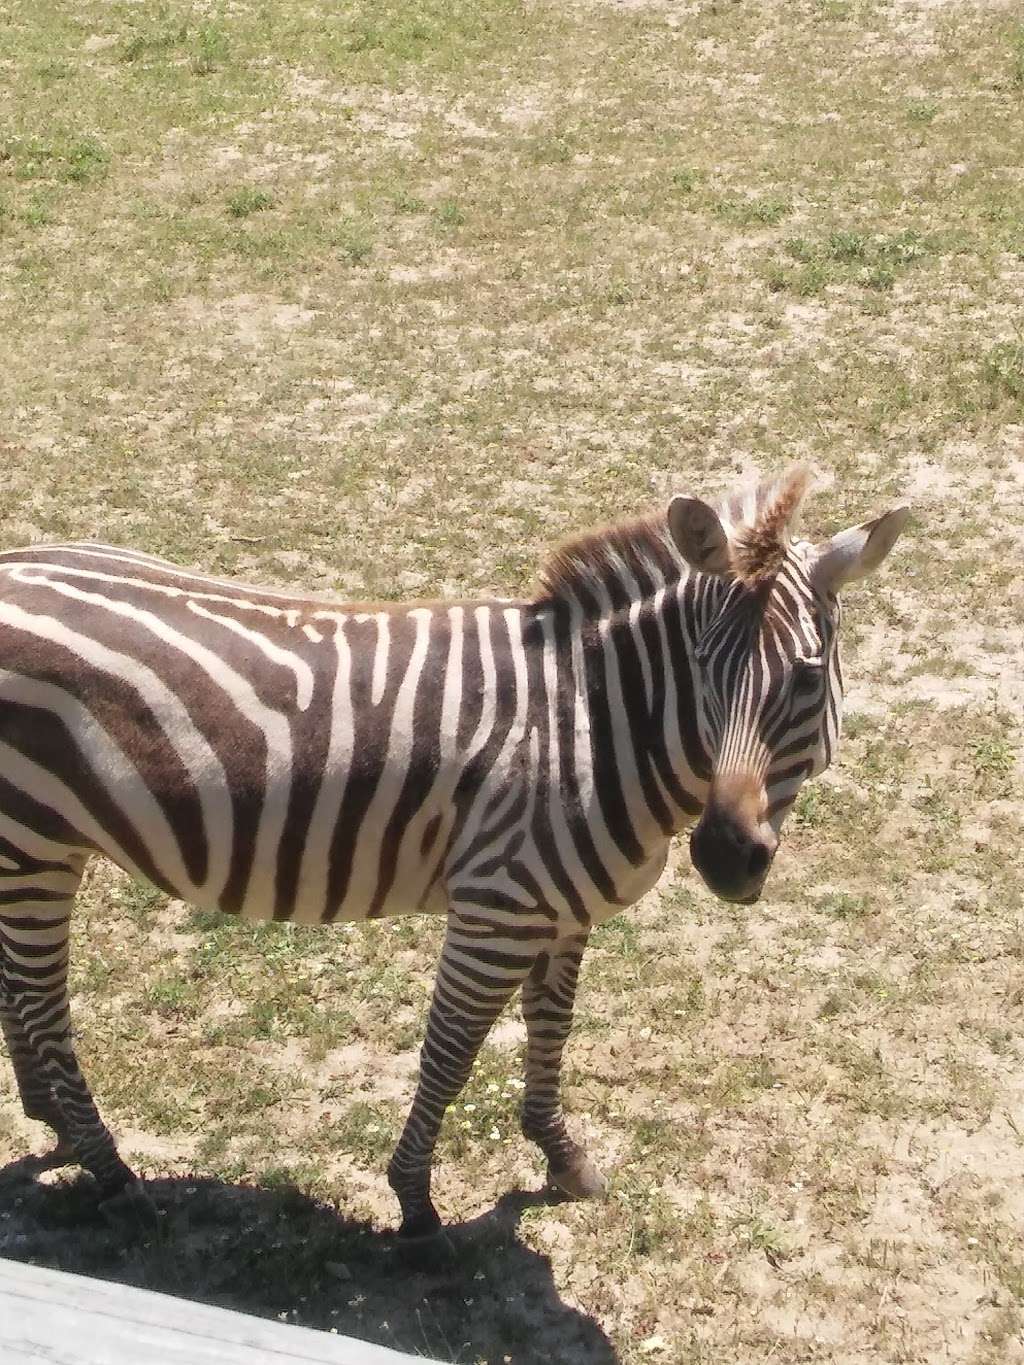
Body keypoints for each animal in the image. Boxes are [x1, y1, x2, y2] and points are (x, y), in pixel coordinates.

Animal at [0, 466, 906, 1239]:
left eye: (807, 677)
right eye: (704, 666)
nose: (723, 856)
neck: (592, 723)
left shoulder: (560, 909)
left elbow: (551, 1025)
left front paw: (561, 1154)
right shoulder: (498, 906)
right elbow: (451, 1051)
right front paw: (415, 1200)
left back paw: (51, 1119)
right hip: (34, 839)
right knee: (41, 1002)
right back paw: (110, 1169)